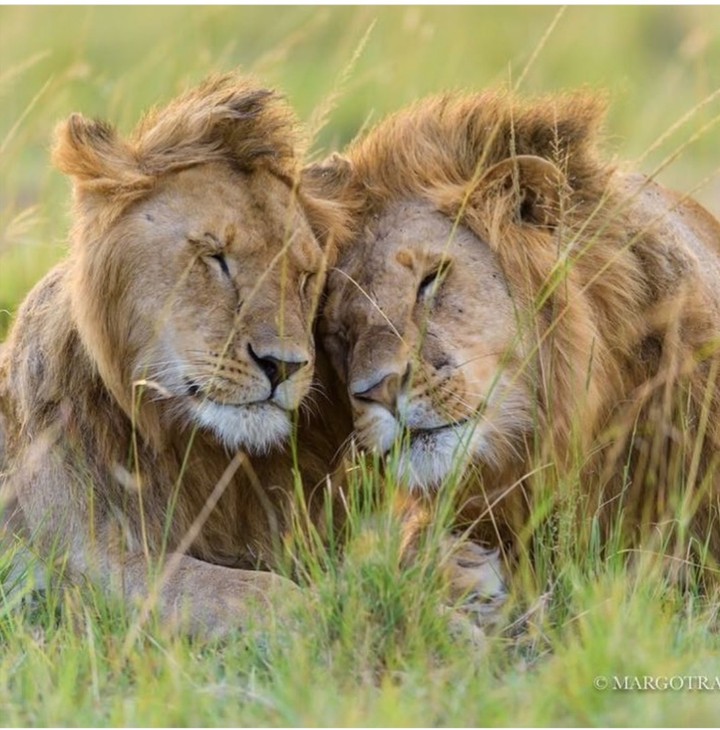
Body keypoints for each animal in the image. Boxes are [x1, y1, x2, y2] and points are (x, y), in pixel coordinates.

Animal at [0, 74, 356, 637]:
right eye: (215, 258)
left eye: (304, 276)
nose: (284, 366)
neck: (194, 448)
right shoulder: (86, 560)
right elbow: (250, 590)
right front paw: (322, 612)